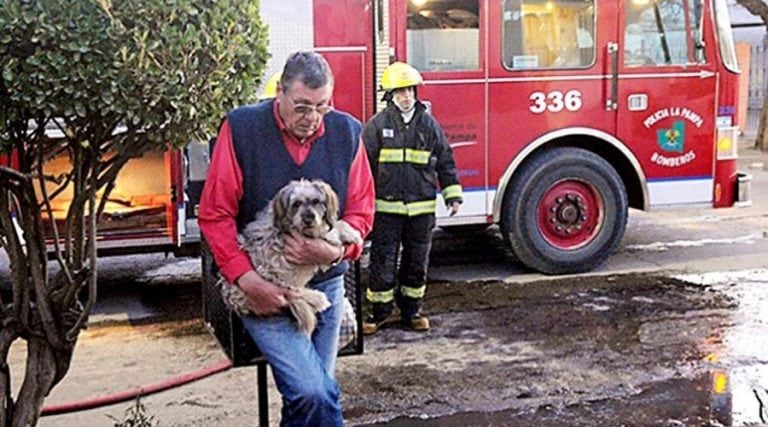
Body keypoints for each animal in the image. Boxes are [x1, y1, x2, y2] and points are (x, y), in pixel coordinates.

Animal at [219, 179, 364, 336]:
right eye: (296, 204)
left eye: (316, 201)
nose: (308, 218)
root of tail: (232, 299)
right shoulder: (315, 235)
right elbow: (335, 228)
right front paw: (353, 234)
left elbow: (336, 224)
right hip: (273, 277)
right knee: (292, 293)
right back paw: (317, 298)